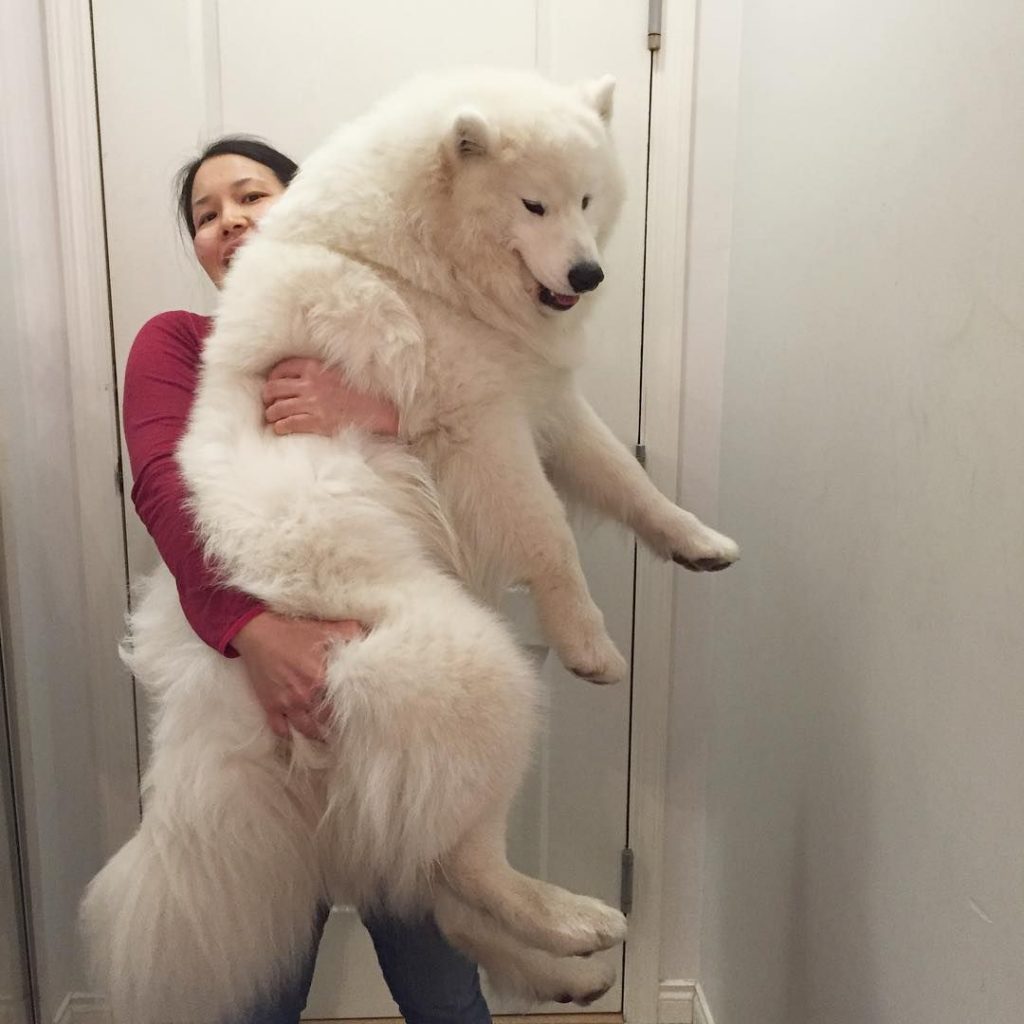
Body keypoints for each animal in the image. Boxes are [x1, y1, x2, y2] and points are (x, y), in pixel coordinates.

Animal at [79, 68, 737, 1019]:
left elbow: (627, 480)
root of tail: (214, 692)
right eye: (533, 203)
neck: (416, 261)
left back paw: (565, 971)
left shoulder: (541, 400)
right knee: (463, 864)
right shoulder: (482, 427)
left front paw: (698, 543)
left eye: (587, 198)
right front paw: (592, 644)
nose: (589, 272)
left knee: (438, 890)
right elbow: (549, 533)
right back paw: (578, 922)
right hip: (476, 671)